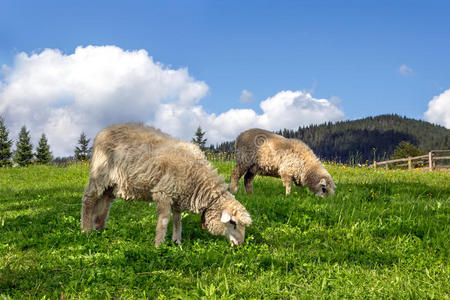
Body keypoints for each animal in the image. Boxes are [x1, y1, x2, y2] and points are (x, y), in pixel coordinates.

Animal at [81, 123, 253, 247]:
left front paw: (177, 241)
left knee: (104, 203)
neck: (197, 179)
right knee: (89, 199)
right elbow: (164, 221)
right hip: (100, 173)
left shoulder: (178, 196)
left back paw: (99, 229)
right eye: (233, 223)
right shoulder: (163, 192)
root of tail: (102, 131)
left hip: (111, 184)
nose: (240, 244)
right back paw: (86, 230)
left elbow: (177, 220)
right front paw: (159, 245)